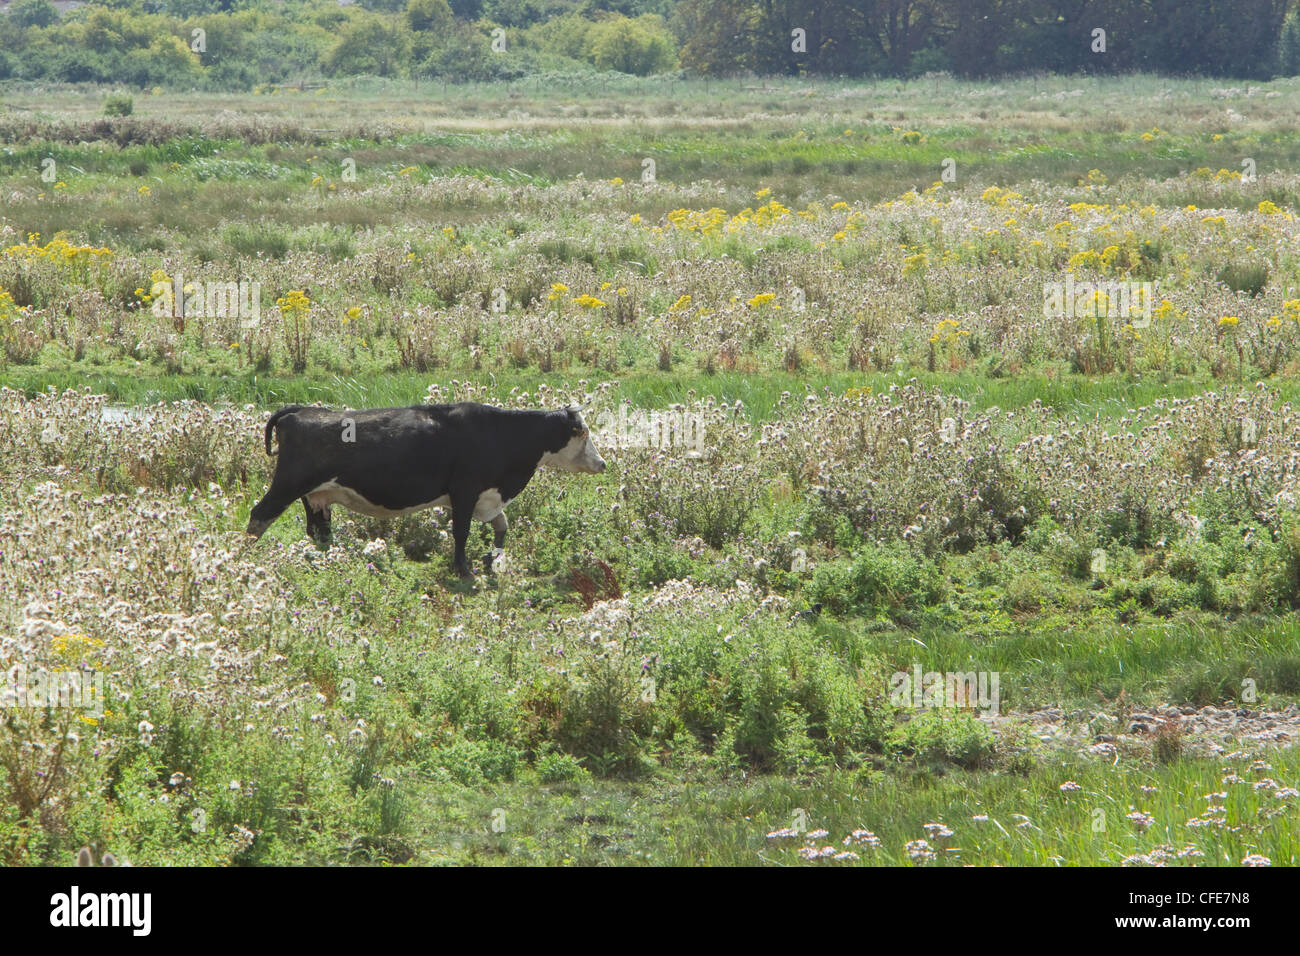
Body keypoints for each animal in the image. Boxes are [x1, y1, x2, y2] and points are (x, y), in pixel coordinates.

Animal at [245, 403, 605, 574]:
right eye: (584, 434)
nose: (602, 464)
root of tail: (300, 410)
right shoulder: (464, 491)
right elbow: (461, 531)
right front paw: (463, 568)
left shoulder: (488, 496)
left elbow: (501, 526)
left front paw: (494, 559)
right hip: (287, 486)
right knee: (259, 516)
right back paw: (243, 557)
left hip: (316, 496)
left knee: (318, 530)